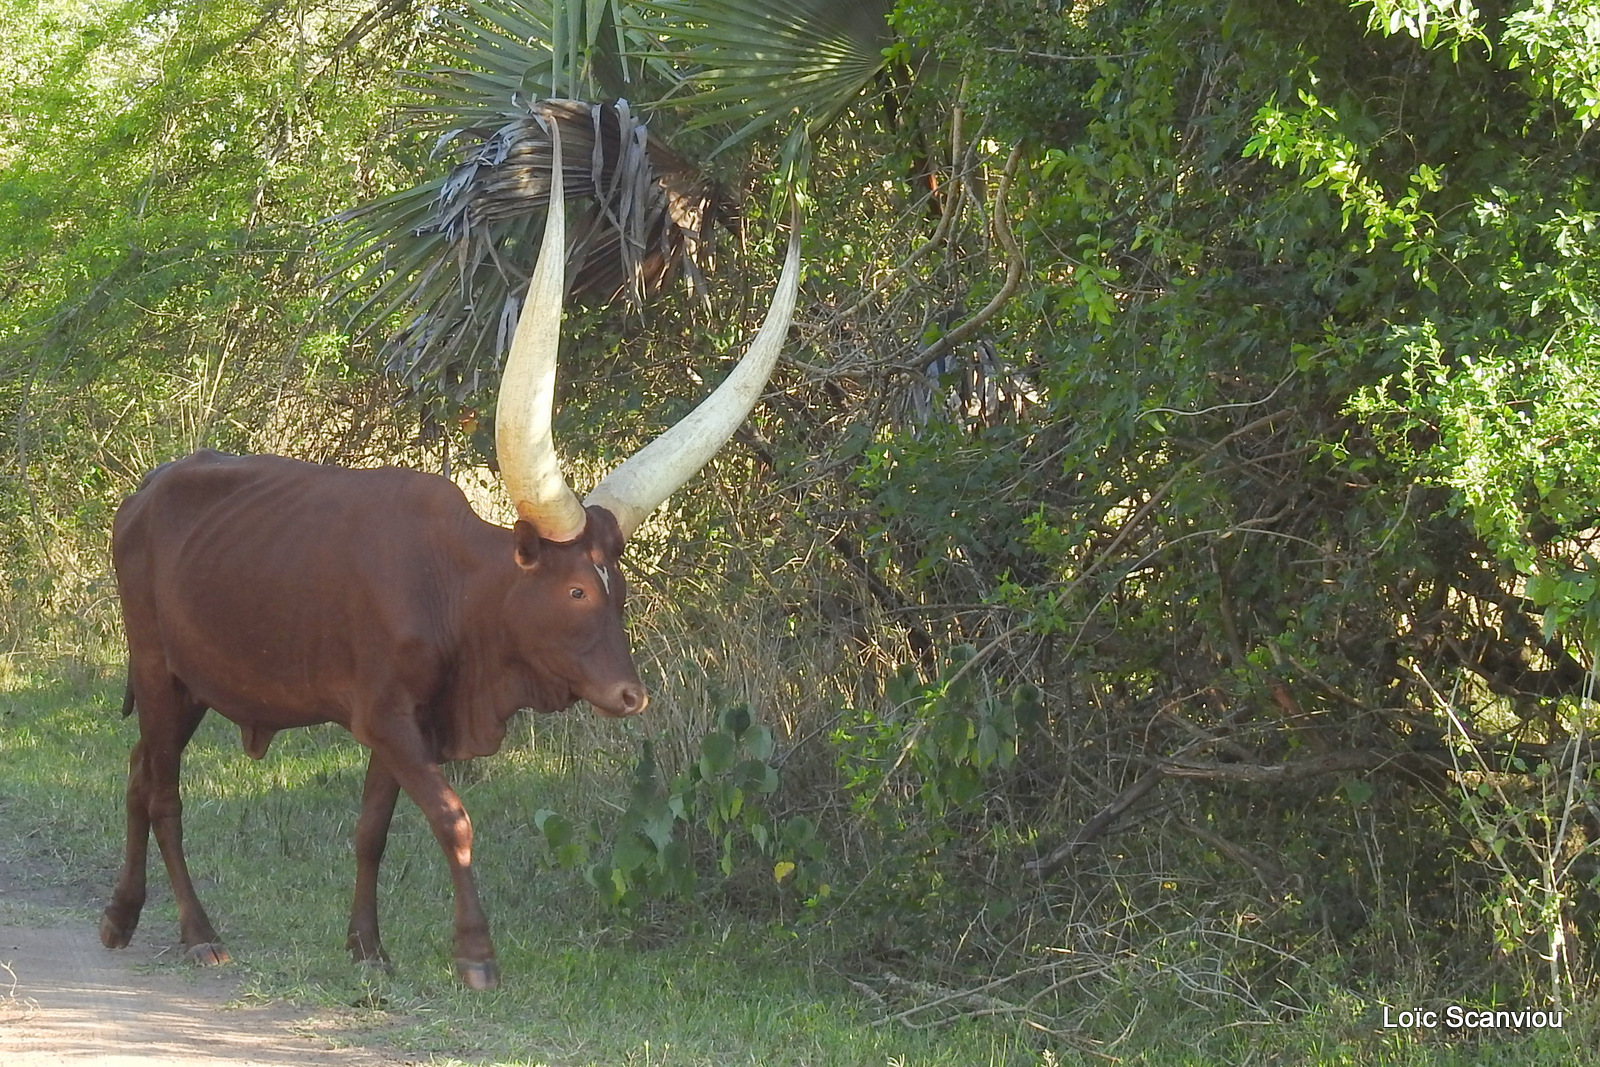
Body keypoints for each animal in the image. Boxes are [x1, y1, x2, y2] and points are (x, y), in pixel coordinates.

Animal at [100, 112, 800, 991]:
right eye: (577, 591)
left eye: (622, 590)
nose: (631, 695)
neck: (455, 591)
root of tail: (144, 493)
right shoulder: (387, 716)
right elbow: (452, 817)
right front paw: (474, 952)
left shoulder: (413, 727)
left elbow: (373, 827)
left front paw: (368, 946)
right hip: (158, 668)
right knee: (163, 791)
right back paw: (197, 931)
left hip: (192, 681)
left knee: (138, 772)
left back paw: (121, 917)